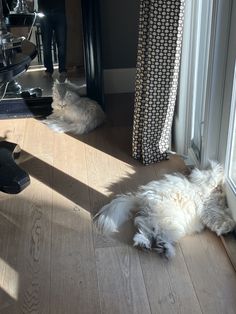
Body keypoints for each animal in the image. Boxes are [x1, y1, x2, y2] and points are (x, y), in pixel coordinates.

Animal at [94, 162, 236, 258]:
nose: (219, 187)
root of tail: (140, 198)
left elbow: (223, 213)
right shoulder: (210, 208)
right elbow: (220, 218)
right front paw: (229, 227)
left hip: (154, 219)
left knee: (146, 231)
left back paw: (144, 243)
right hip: (170, 221)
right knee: (159, 235)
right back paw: (165, 249)